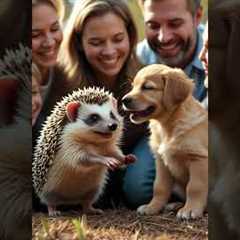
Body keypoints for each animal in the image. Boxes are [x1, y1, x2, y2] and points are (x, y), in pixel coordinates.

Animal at [122, 63, 208, 219]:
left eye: (147, 87)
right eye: (133, 86)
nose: (124, 100)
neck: (167, 126)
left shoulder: (199, 158)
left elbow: (194, 187)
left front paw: (190, 210)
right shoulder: (161, 161)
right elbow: (159, 187)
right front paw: (152, 207)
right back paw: (174, 205)